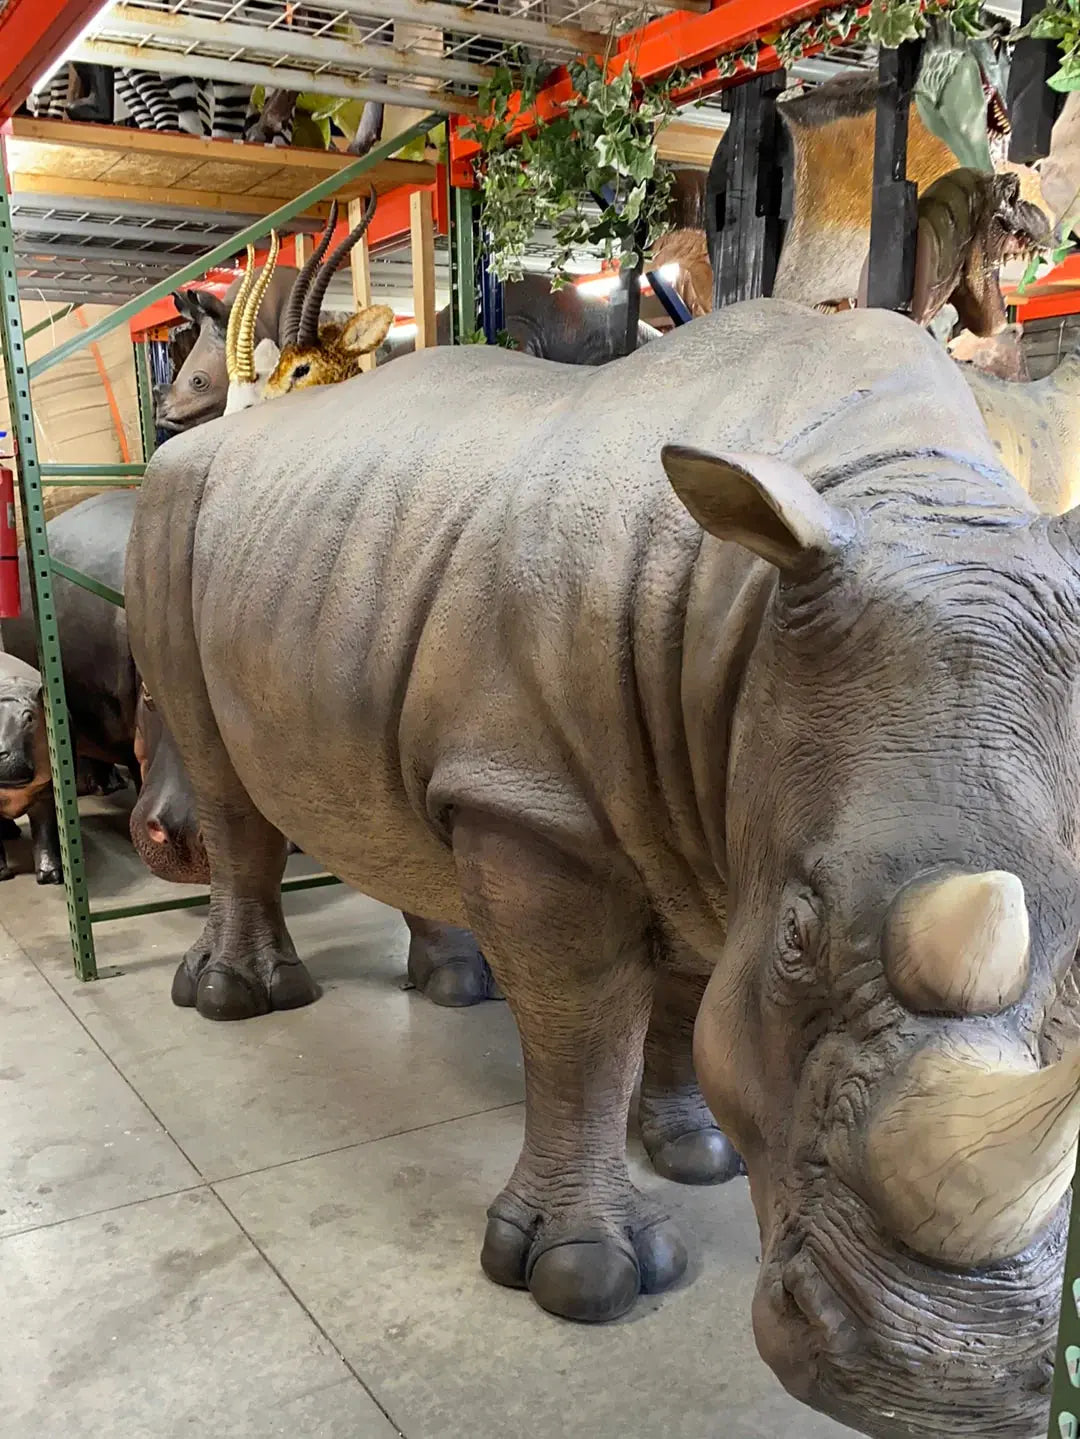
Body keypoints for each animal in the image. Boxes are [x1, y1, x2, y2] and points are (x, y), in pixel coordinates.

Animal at [127, 296, 1080, 1437]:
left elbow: (687, 1005)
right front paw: (583, 1276)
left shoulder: (710, 797)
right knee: (220, 770)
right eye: (800, 935)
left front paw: (694, 1151)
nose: (950, 1388)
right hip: (173, 508)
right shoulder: (546, 809)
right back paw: (242, 999)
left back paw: (451, 984)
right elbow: (582, 1030)